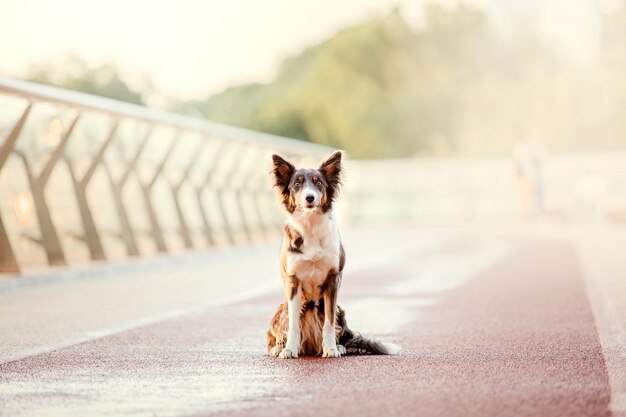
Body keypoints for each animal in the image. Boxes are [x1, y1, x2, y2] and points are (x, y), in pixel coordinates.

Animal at [266, 151, 398, 356]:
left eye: (318, 183)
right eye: (297, 184)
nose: (310, 197)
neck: (311, 226)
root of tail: (310, 347)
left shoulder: (333, 279)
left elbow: (329, 323)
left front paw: (330, 349)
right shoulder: (293, 281)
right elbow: (293, 324)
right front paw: (289, 349)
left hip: (339, 309)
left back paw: (339, 346)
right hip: (281, 308)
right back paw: (279, 347)